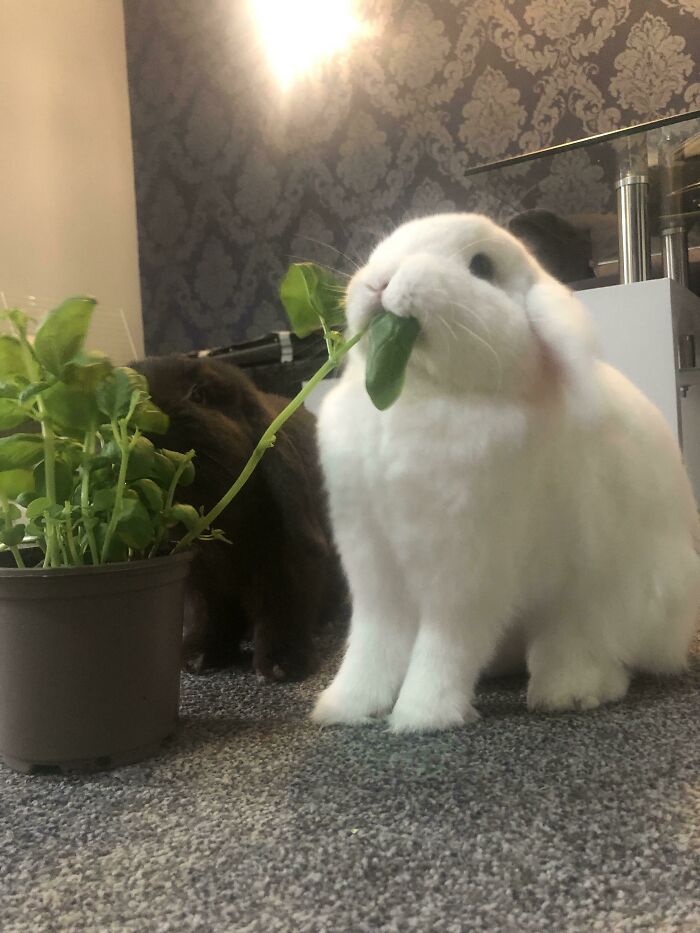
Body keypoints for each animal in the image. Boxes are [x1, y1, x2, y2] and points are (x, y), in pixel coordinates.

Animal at [132, 355, 346, 682]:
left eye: (199, 395)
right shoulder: (201, 587)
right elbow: (209, 618)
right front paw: (197, 658)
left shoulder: (288, 568)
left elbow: (283, 612)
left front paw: (283, 666)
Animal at [311, 212, 700, 733]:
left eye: (481, 266)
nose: (380, 280)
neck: (419, 393)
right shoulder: (374, 571)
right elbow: (371, 646)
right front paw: (344, 707)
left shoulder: (467, 572)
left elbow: (445, 645)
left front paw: (422, 716)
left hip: (607, 594)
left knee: (589, 649)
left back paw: (569, 692)